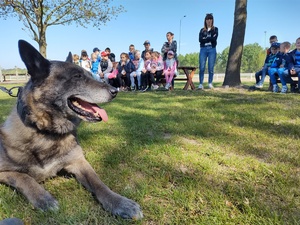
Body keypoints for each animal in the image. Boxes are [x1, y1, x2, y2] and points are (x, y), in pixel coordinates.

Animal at [0, 40, 144, 220]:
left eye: (90, 75)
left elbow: (98, 183)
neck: (46, 132)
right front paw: (43, 198)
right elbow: (25, 178)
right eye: (77, 76)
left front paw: (119, 202)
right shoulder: (4, 172)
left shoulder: (79, 162)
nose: (115, 91)